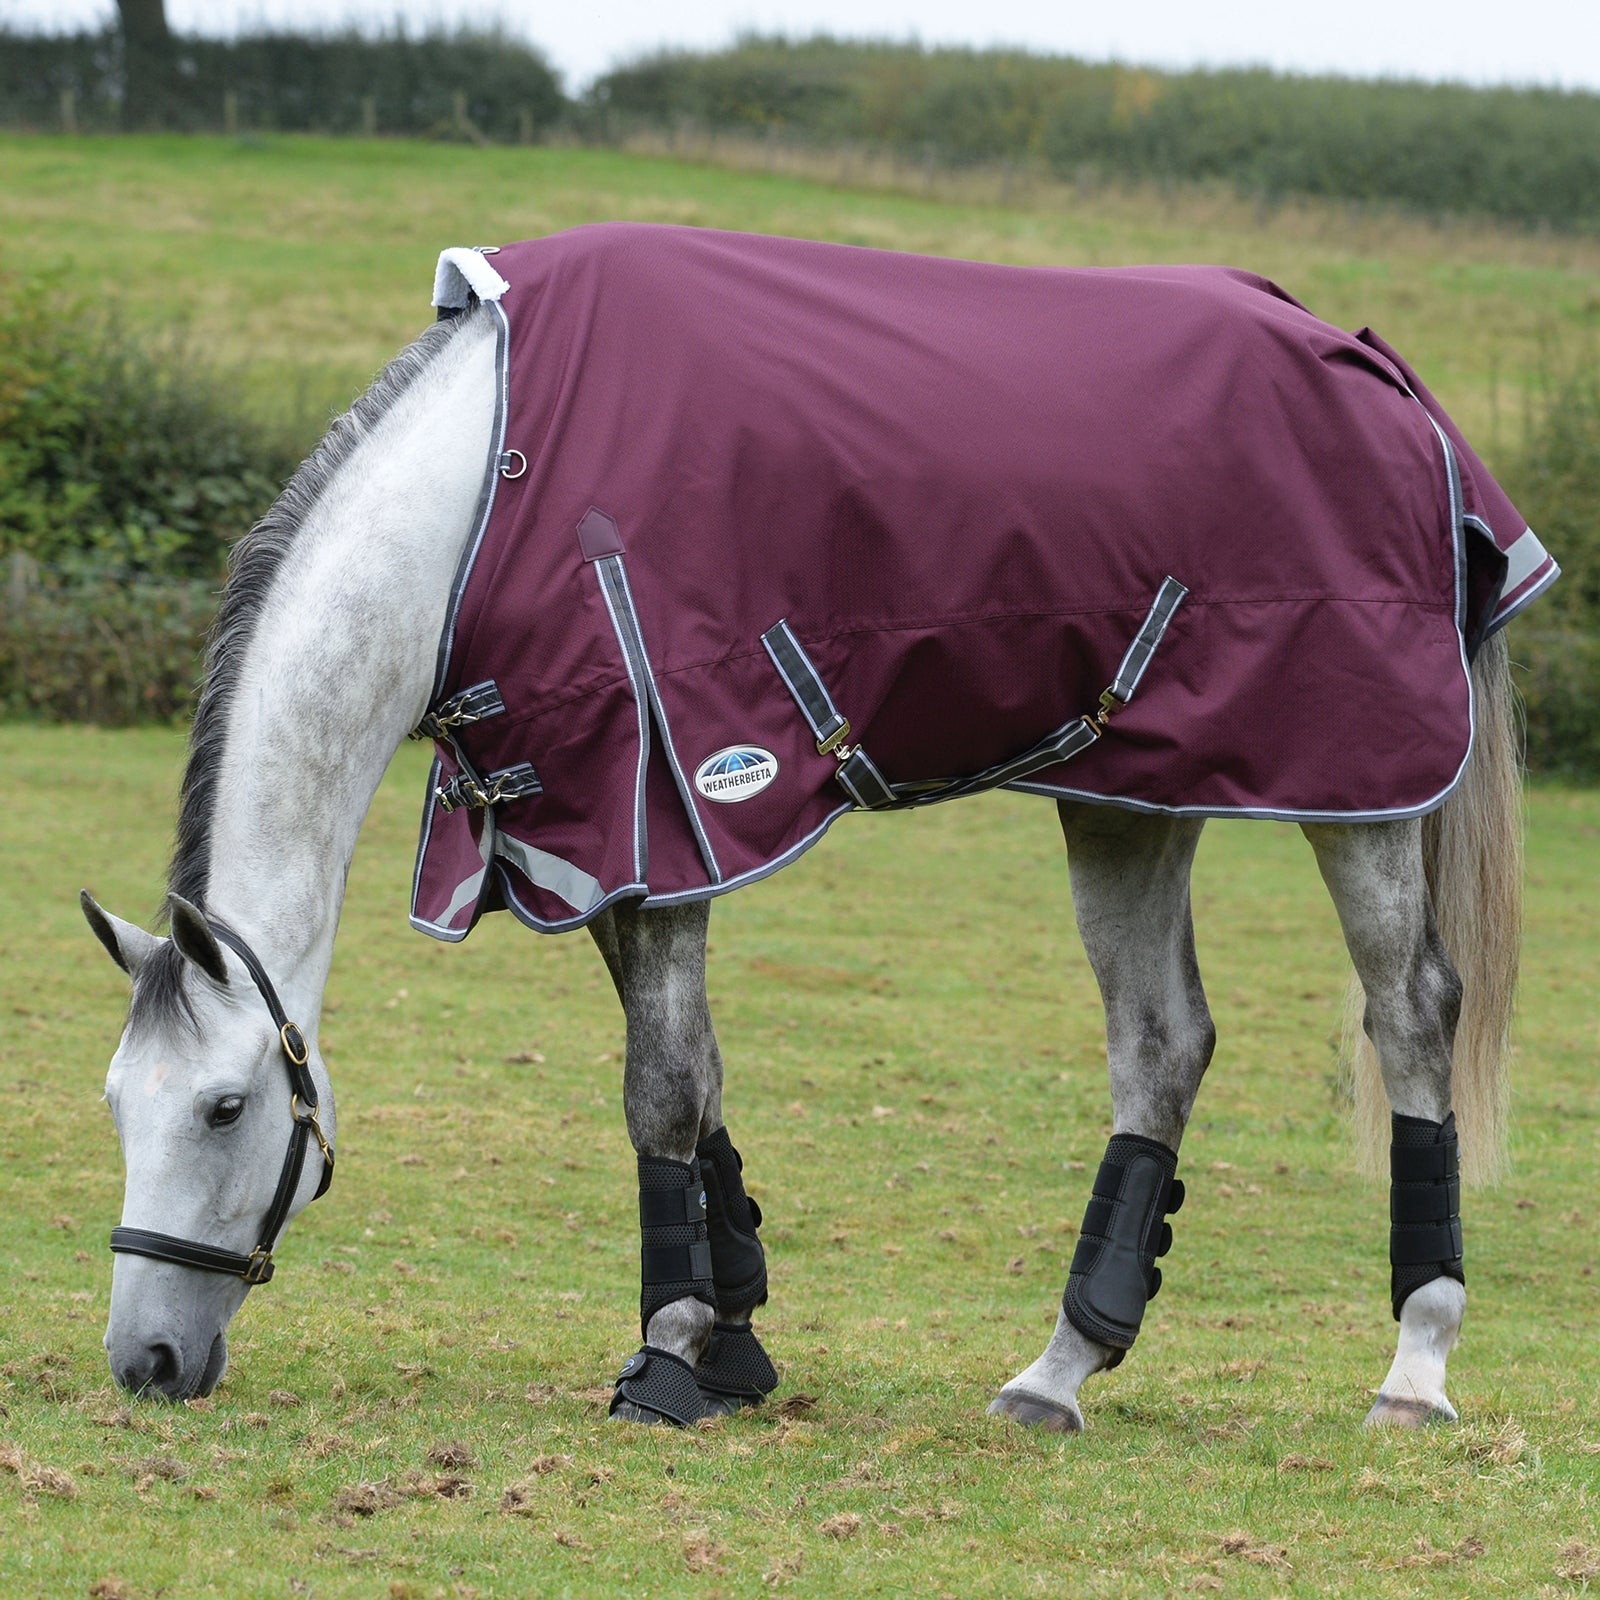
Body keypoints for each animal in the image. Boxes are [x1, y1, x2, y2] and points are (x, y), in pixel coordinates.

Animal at [81, 223, 1556, 1430]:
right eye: (115, 1103)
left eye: (224, 1108)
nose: (143, 1363)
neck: (484, 499)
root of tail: (1371, 369)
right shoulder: (594, 833)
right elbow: (702, 1080)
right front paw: (732, 1340)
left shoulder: (666, 803)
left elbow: (662, 1088)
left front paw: (669, 1354)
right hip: (1131, 790)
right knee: (1162, 1044)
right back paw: (1060, 1370)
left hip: (1356, 786)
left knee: (1410, 1015)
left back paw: (1415, 1366)